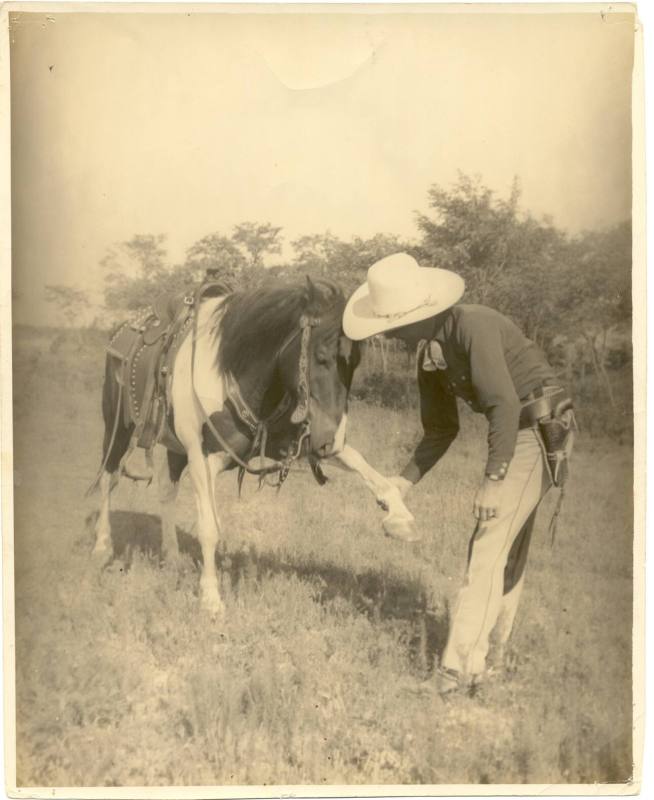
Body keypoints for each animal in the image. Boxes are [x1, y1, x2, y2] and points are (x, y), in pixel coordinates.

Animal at [90, 278, 418, 616]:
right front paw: (211, 598)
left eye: (354, 364)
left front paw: (399, 516)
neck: (231, 372)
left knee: (166, 493)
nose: (332, 439)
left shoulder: (288, 443)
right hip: (118, 428)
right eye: (321, 357)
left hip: (176, 448)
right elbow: (209, 527)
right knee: (108, 478)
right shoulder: (202, 460)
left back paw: (172, 557)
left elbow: (365, 467)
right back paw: (102, 548)